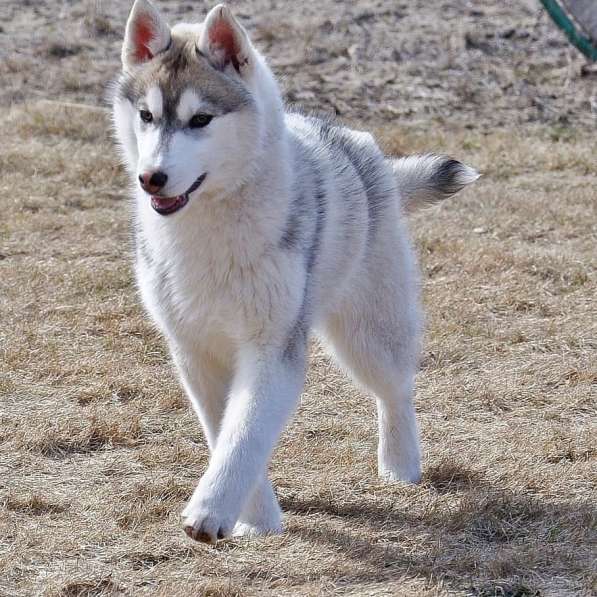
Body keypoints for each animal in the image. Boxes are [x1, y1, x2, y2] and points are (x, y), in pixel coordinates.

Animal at [109, 0, 478, 544]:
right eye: (147, 116)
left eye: (201, 119)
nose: (150, 177)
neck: (209, 224)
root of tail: (359, 145)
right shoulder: (195, 353)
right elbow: (228, 433)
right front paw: (257, 519)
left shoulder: (273, 345)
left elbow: (245, 433)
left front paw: (211, 512)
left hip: (367, 333)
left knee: (396, 390)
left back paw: (400, 464)